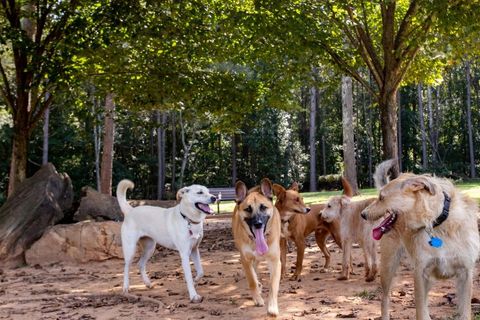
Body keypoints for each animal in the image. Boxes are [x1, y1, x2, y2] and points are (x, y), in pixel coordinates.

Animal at [232, 179, 282, 316]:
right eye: (248, 209)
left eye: (263, 207)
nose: (258, 224)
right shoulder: (245, 259)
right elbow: (252, 280)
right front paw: (257, 298)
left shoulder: (275, 261)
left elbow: (273, 285)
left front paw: (272, 306)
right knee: (253, 271)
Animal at [362, 160, 478, 320]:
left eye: (381, 197)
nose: (363, 214)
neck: (437, 223)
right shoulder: (420, 273)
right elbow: (420, 311)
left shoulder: (466, 274)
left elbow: (465, 312)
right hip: (389, 267)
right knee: (385, 298)